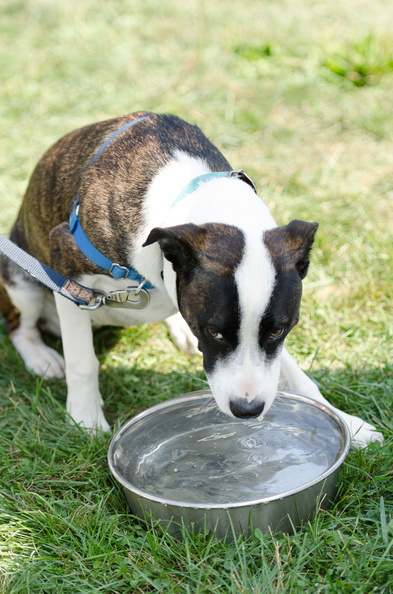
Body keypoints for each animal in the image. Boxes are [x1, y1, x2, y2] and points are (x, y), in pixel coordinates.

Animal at [0, 111, 380, 446]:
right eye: (214, 332)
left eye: (279, 331)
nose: (248, 409)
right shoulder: (68, 268)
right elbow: (83, 362)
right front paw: (85, 418)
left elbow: (295, 374)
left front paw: (348, 424)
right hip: (21, 277)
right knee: (20, 326)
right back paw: (40, 356)